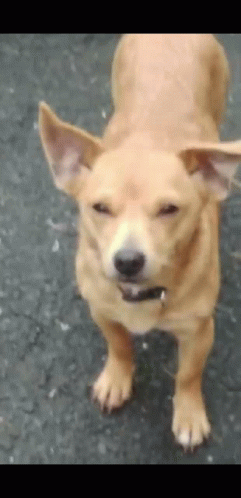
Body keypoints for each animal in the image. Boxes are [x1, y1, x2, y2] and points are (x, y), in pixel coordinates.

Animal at [38, 33, 241, 450]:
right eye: (100, 208)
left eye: (169, 209)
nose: (128, 261)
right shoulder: (101, 309)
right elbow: (118, 344)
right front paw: (117, 377)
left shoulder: (200, 331)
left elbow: (188, 374)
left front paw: (188, 412)